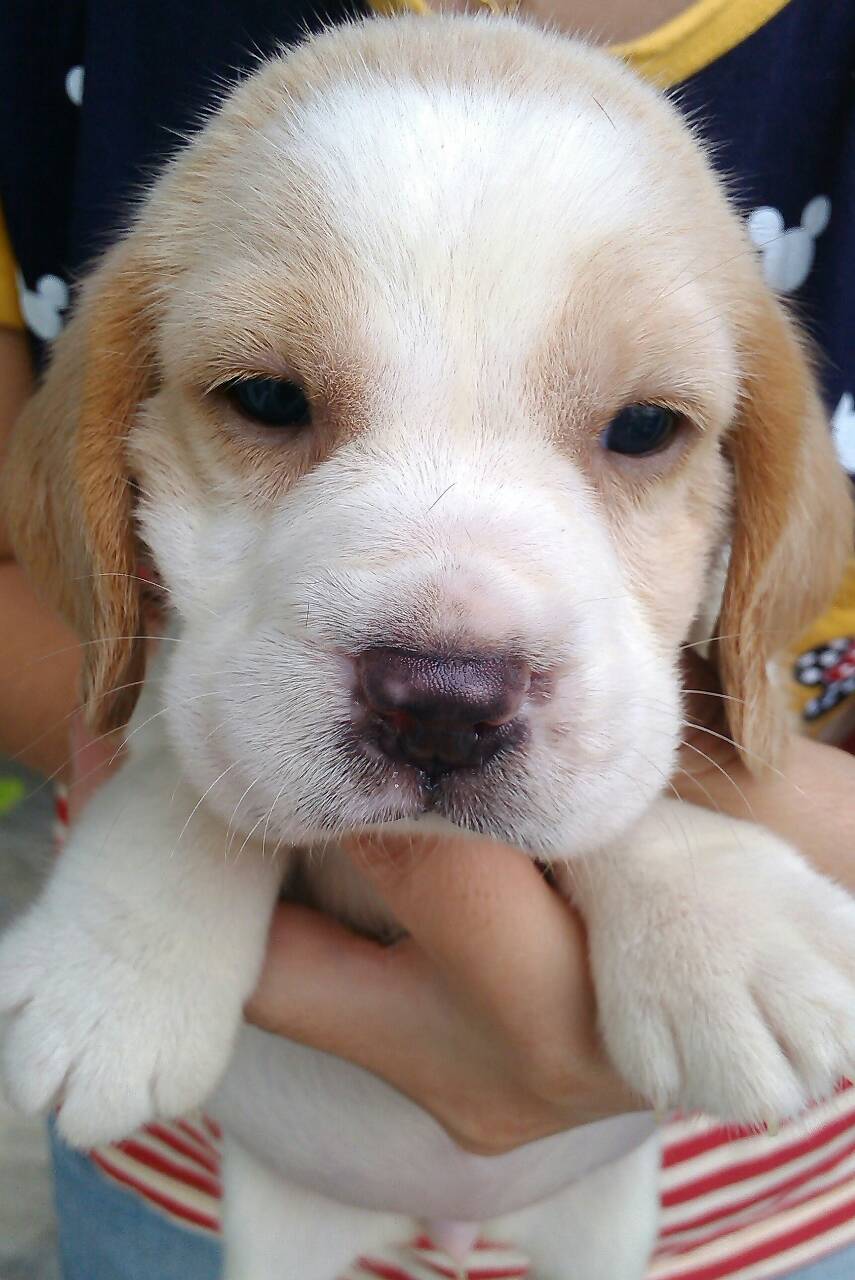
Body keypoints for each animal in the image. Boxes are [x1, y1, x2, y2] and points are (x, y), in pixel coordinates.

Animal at [1, 14, 854, 1279]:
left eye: (646, 427)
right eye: (266, 398)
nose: (444, 700)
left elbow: (648, 770)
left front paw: (729, 931)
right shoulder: (193, 686)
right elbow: (185, 763)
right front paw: (114, 967)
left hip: (605, 1231)